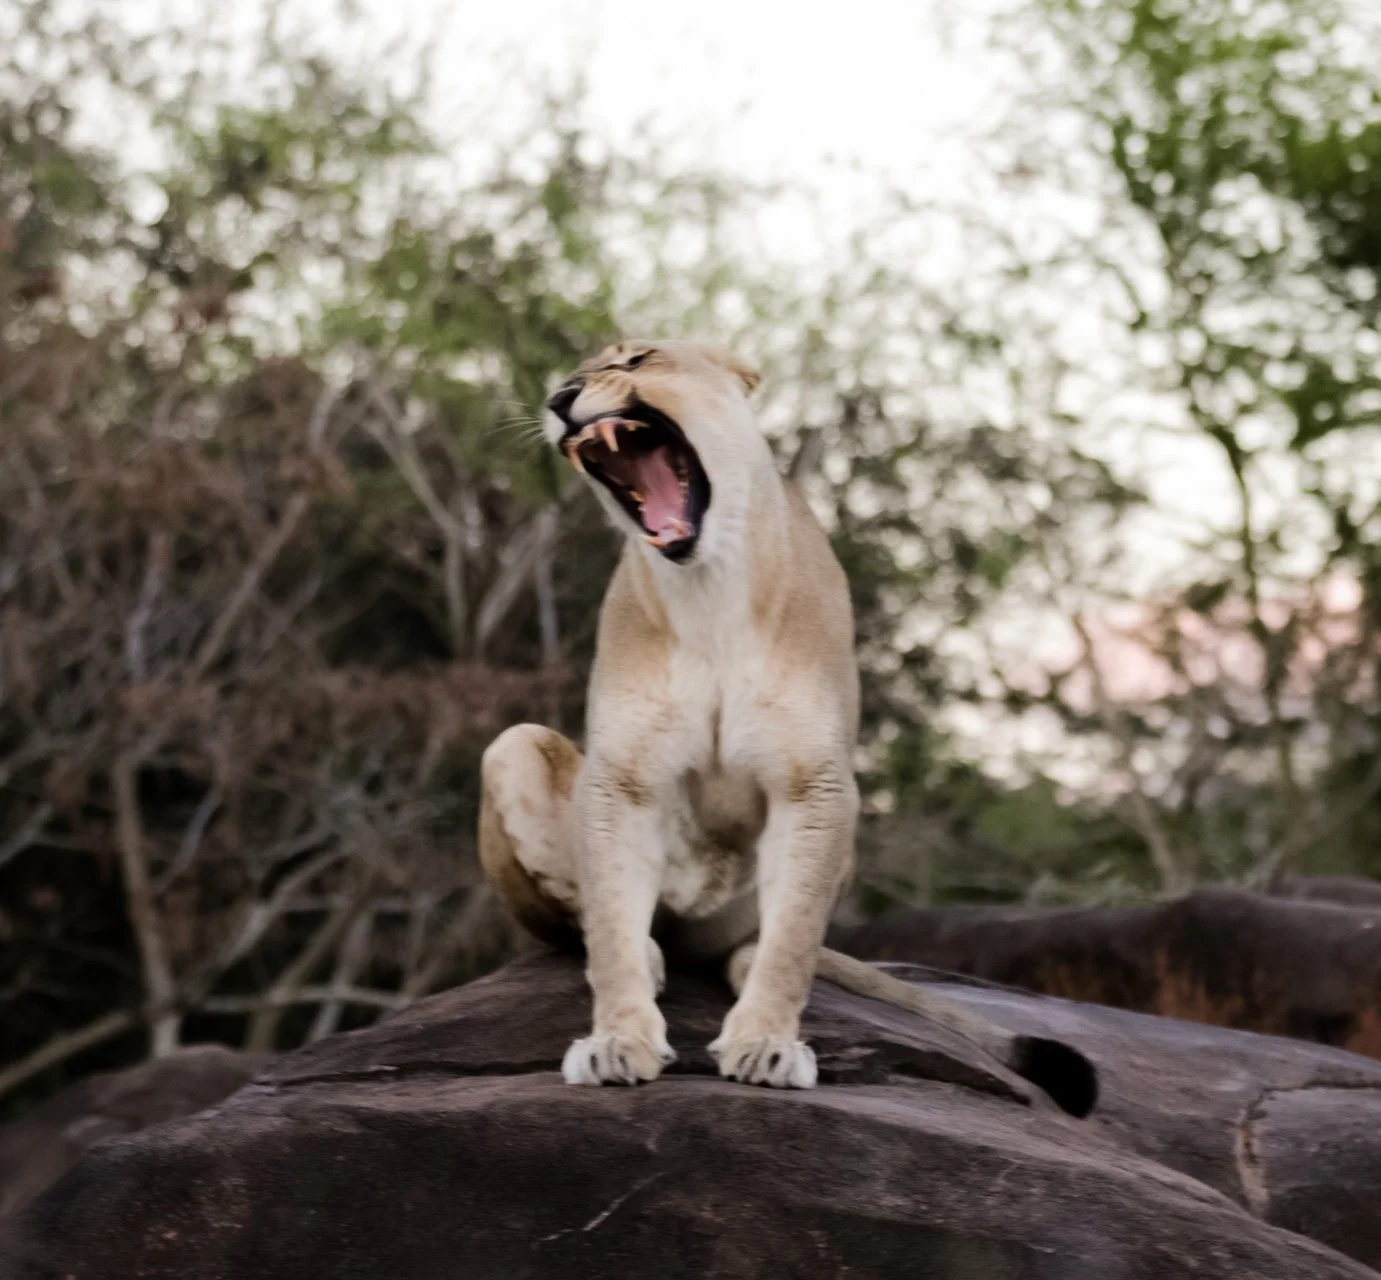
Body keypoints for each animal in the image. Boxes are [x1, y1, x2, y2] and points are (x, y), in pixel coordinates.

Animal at [477, 339, 1095, 1114]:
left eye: (636, 358)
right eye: (568, 377)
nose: (560, 399)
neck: (706, 586)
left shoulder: (816, 783)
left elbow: (795, 936)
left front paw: (766, 1045)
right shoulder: (621, 777)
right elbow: (611, 926)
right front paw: (618, 1041)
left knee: (759, 942)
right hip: (513, 746)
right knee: (593, 924)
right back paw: (648, 954)